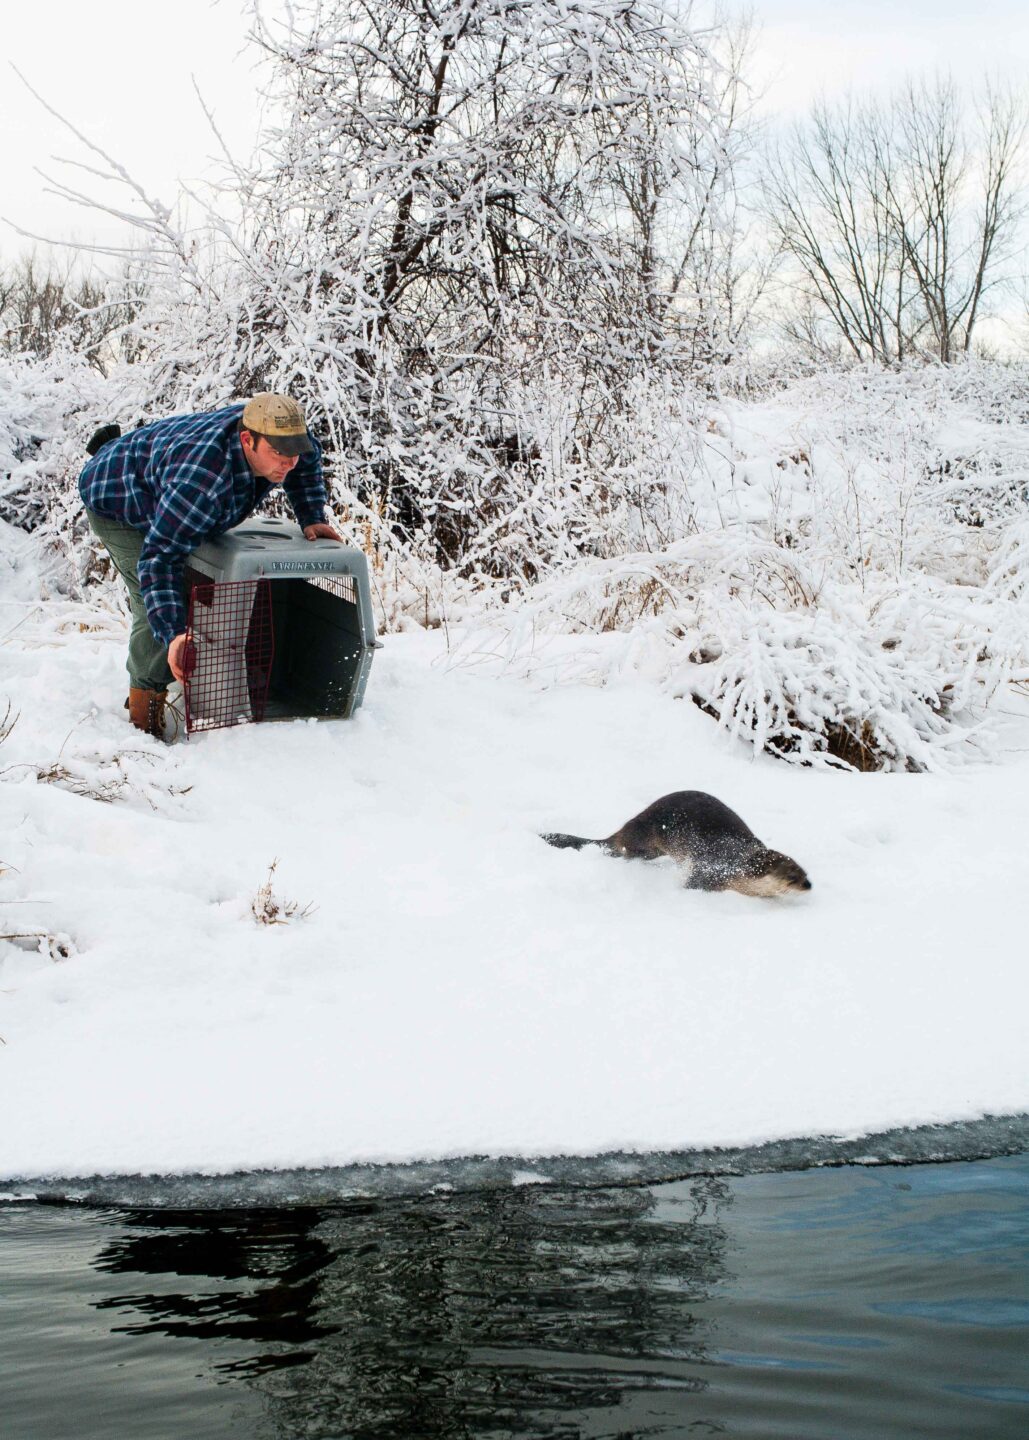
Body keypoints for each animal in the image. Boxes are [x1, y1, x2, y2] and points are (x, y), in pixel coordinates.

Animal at [542, 791, 811, 897]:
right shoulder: (707, 871)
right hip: (645, 841)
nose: (809, 885)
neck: (733, 865)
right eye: (791, 876)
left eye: (804, 872)